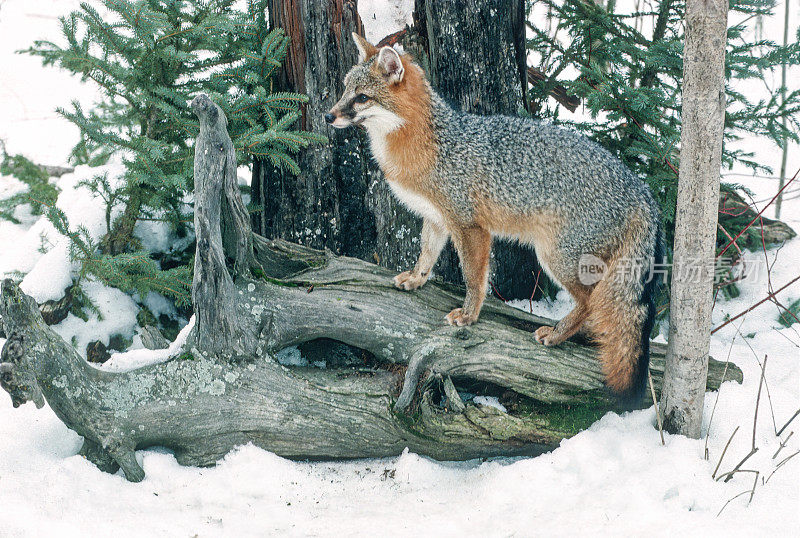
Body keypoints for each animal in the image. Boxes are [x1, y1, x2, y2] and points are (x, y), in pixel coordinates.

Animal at [324, 34, 664, 406]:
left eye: (361, 97)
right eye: (344, 90)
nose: (327, 116)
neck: (429, 143)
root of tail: (644, 191)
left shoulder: (469, 227)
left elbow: (474, 278)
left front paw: (469, 315)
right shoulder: (437, 218)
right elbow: (426, 254)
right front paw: (415, 279)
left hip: (556, 258)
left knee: (591, 304)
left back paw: (557, 334)